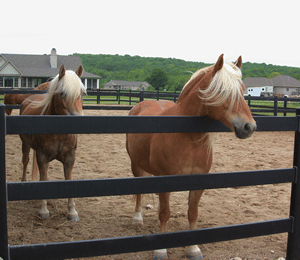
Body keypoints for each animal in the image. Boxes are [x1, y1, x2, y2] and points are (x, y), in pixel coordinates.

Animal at [19, 64, 85, 221]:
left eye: (81, 93)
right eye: (62, 93)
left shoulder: (69, 159)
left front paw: (72, 212)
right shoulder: (42, 157)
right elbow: (43, 178)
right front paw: (43, 211)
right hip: (25, 144)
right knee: (25, 161)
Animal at [125, 53, 256, 258]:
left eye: (243, 90)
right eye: (223, 90)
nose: (249, 127)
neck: (187, 136)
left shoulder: (198, 180)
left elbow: (192, 213)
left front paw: (194, 249)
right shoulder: (165, 179)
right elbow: (165, 213)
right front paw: (160, 250)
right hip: (136, 165)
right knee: (139, 192)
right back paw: (137, 218)